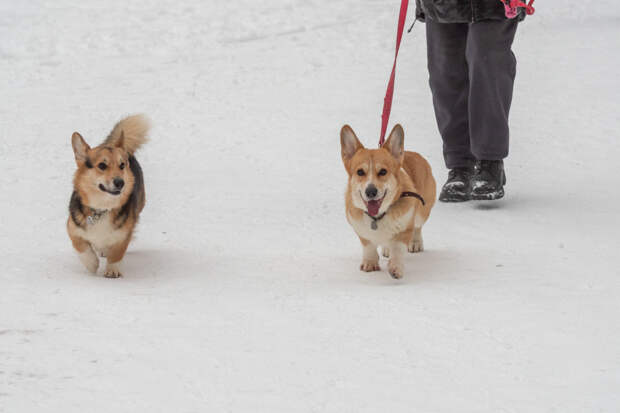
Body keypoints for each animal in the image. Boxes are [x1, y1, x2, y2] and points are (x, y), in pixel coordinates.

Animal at [67, 114, 150, 278]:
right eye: (102, 166)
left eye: (122, 165)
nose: (120, 182)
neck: (103, 208)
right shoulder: (72, 228)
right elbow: (82, 247)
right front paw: (91, 264)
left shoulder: (124, 233)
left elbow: (117, 252)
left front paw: (112, 270)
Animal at [340, 122, 436, 276]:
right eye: (360, 172)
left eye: (383, 172)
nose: (371, 191)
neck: (378, 217)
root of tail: (414, 153)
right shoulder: (361, 231)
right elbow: (368, 246)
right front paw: (370, 263)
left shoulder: (405, 229)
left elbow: (398, 248)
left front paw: (396, 267)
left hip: (422, 212)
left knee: (418, 226)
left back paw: (415, 243)